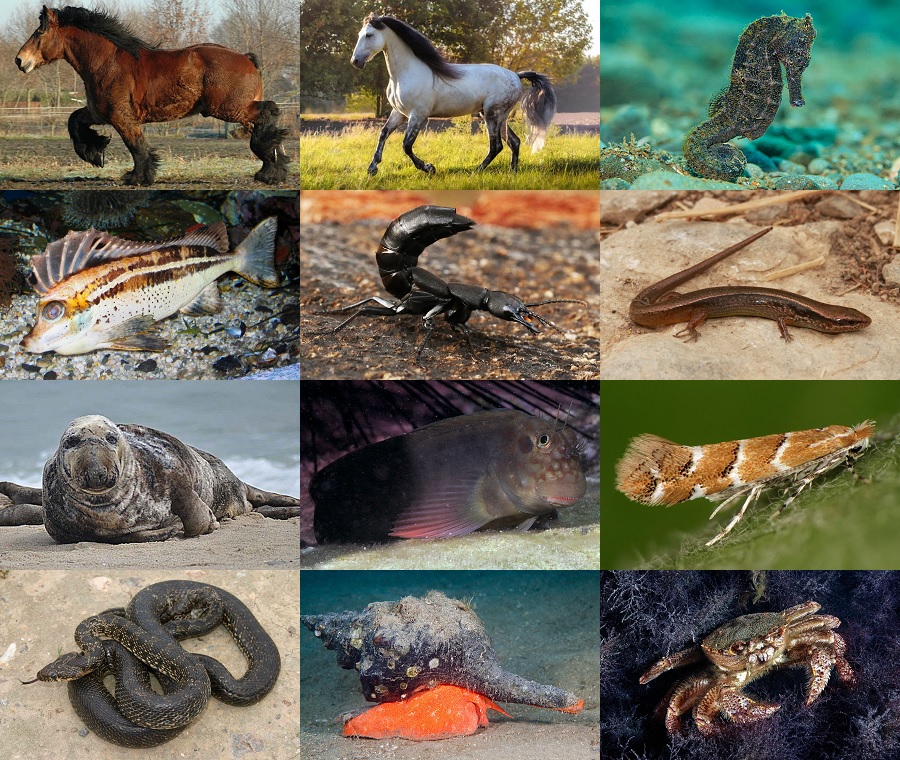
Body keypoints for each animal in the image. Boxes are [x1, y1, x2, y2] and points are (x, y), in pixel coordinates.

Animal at [15, 6, 290, 185]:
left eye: (39, 32)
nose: (20, 60)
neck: (107, 63)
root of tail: (248, 59)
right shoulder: (98, 113)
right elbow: (74, 121)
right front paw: (95, 154)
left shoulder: (122, 118)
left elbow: (136, 147)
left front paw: (136, 177)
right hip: (238, 109)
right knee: (270, 129)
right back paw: (273, 170)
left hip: (229, 108)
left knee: (269, 113)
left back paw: (269, 172)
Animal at [350, 14, 556, 176]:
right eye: (359, 34)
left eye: (369, 35)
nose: (355, 61)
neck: (406, 73)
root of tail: (515, 75)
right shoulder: (399, 113)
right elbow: (383, 133)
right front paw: (372, 168)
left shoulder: (418, 115)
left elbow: (406, 145)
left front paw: (429, 168)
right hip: (499, 117)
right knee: (514, 142)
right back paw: (512, 172)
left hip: (492, 114)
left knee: (496, 145)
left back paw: (476, 171)